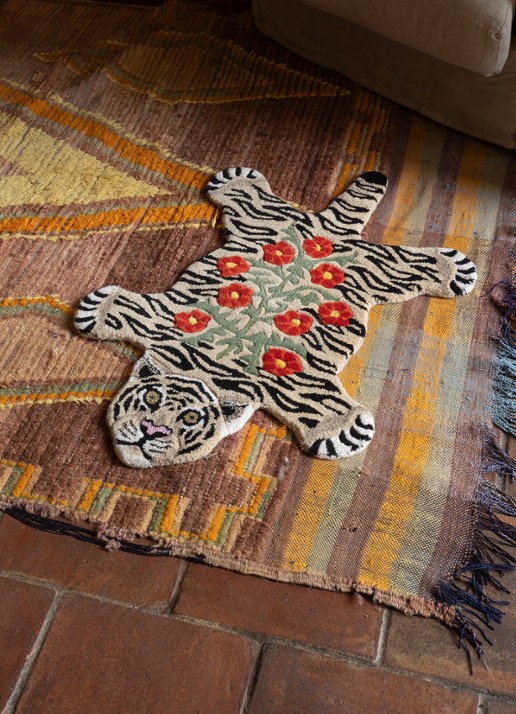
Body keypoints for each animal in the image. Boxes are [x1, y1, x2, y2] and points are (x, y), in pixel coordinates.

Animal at [75, 168, 477, 467]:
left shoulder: (292, 385)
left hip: (384, 270)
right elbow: (130, 309)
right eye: (151, 398)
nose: (150, 430)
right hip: (271, 218)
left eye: (189, 419)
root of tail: (335, 229)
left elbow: (322, 406)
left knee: (411, 265)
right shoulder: (162, 320)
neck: (209, 365)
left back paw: (452, 268)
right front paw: (100, 308)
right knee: (257, 201)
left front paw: (345, 429)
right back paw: (238, 182)